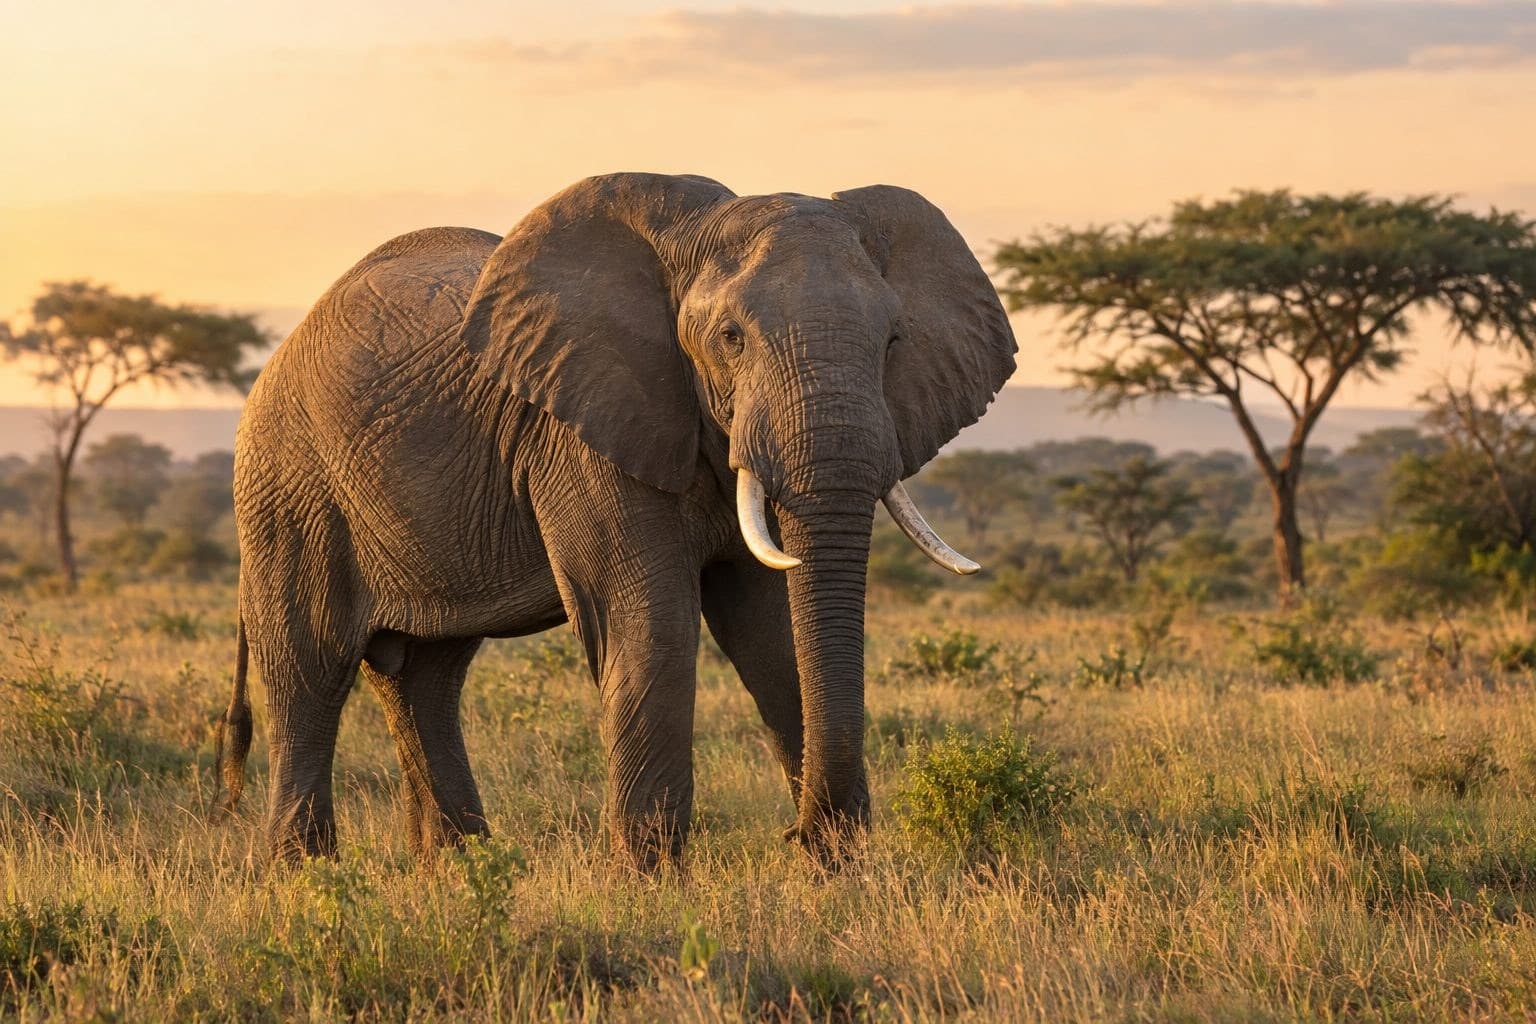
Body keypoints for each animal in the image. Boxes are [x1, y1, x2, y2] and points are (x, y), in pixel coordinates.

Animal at [213, 172, 1016, 868]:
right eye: (731, 338)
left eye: (894, 342)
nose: (800, 836)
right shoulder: (580, 433)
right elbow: (651, 621)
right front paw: (651, 879)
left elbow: (771, 631)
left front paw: (834, 870)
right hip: (289, 484)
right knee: (309, 667)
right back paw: (308, 877)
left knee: (425, 676)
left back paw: (459, 867)